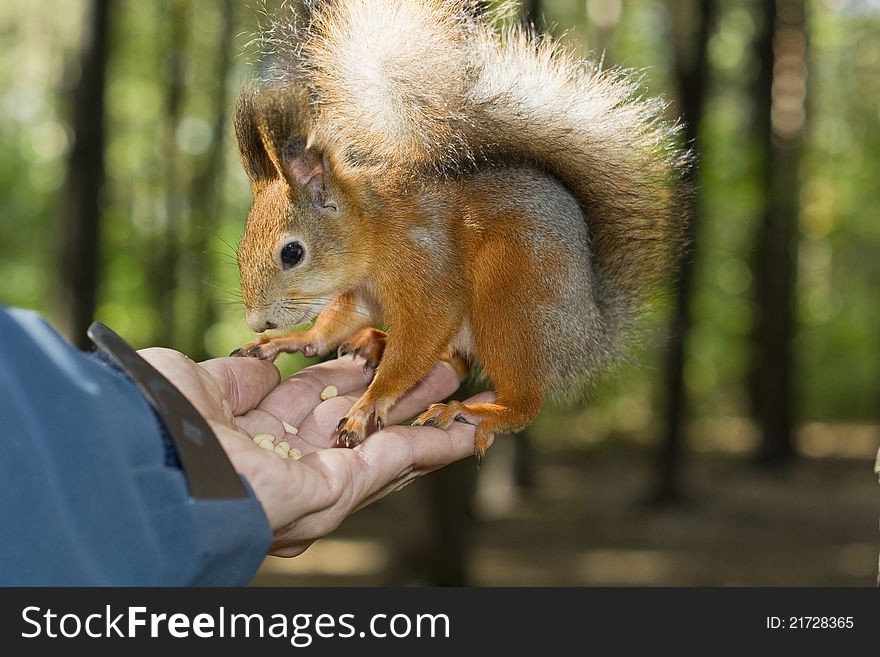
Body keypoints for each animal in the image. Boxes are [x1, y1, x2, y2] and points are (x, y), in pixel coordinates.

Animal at [230, 0, 692, 462]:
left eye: (292, 253)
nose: (256, 322)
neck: (374, 231)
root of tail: (590, 335)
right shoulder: (361, 293)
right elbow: (332, 325)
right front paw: (288, 340)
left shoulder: (426, 269)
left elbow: (423, 336)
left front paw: (368, 406)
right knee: (455, 361)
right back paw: (375, 341)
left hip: (510, 301)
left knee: (523, 400)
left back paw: (476, 411)